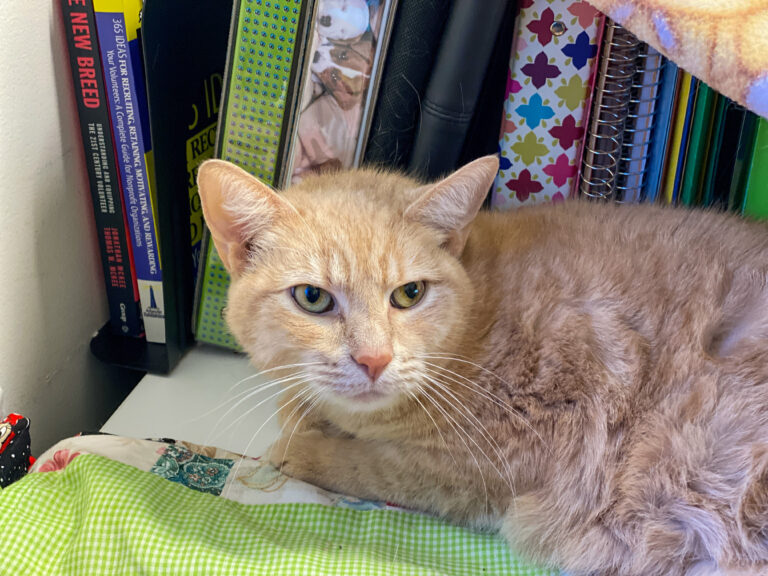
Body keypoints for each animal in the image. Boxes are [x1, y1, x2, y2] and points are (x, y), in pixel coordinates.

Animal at [195, 158, 768, 576]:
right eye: (312, 298)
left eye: (410, 294)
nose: (374, 359)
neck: (481, 316)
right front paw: (305, 409)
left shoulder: (495, 464)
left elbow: (375, 464)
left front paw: (303, 445)